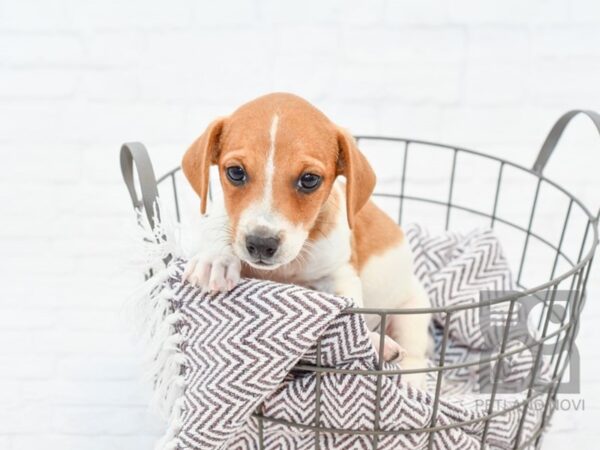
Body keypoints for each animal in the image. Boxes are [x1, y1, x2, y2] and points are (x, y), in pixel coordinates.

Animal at [182, 92, 432, 386]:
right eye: (235, 172)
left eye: (309, 179)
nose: (262, 243)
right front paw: (216, 260)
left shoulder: (339, 274)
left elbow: (352, 316)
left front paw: (372, 341)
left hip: (412, 311)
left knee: (415, 356)